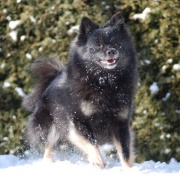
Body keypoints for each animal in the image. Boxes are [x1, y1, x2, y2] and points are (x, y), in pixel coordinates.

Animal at [23, 11, 137, 168]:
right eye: (98, 45)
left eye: (116, 43)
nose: (111, 51)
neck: (104, 83)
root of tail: (52, 79)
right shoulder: (78, 120)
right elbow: (91, 143)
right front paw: (98, 161)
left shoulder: (121, 122)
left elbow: (125, 153)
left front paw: (128, 170)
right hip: (51, 124)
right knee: (49, 146)